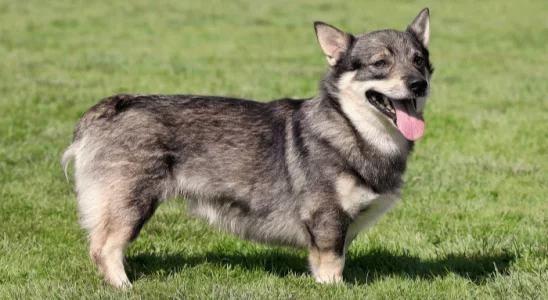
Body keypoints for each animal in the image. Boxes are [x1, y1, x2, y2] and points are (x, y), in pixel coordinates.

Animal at [62, 8, 434, 288]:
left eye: (418, 60)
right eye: (380, 63)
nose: (419, 84)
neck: (352, 128)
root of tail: (109, 107)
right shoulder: (326, 220)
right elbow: (331, 266)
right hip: (131, 202)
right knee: (104, 248)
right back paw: (124, 287)